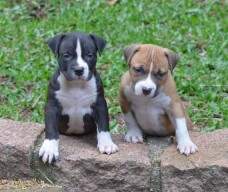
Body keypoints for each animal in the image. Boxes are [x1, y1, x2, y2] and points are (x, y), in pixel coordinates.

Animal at [38, 31, 118, 164]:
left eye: (90, 55)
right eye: (66, 55)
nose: (79, 69)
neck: (76, 85)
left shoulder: (100, 104)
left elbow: (103, 124)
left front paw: (107, 144)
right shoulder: (52, 106)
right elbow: (51, 127)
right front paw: (49, 149)